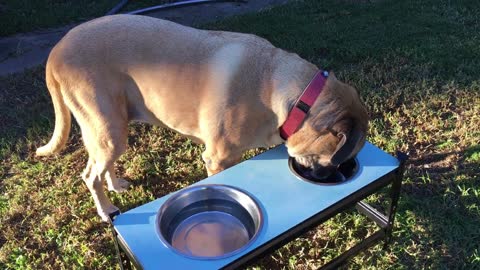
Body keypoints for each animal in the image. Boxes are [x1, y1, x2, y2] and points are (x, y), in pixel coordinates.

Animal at [36, 15, 368, 221]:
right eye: (335, 159)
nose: (330, 178)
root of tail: (56, 50)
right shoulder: (218, 159)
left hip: (111, 126)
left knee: (101, 166)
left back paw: (115, 184)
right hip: (107, 129)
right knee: (90, 175)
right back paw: (106, 210)